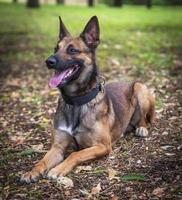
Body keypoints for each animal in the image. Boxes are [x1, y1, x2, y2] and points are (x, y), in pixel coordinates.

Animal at [21, 16, 155, 184]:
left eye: (72, 50)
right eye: (55, 49)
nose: (48, 61)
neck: (76, 102)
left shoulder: (103, 146)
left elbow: (75, 154)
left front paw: (58, 169)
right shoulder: (57, 148)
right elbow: (43, 160)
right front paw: (31, 172)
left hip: (139, 87)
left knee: (144, 119)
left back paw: (142, 128)